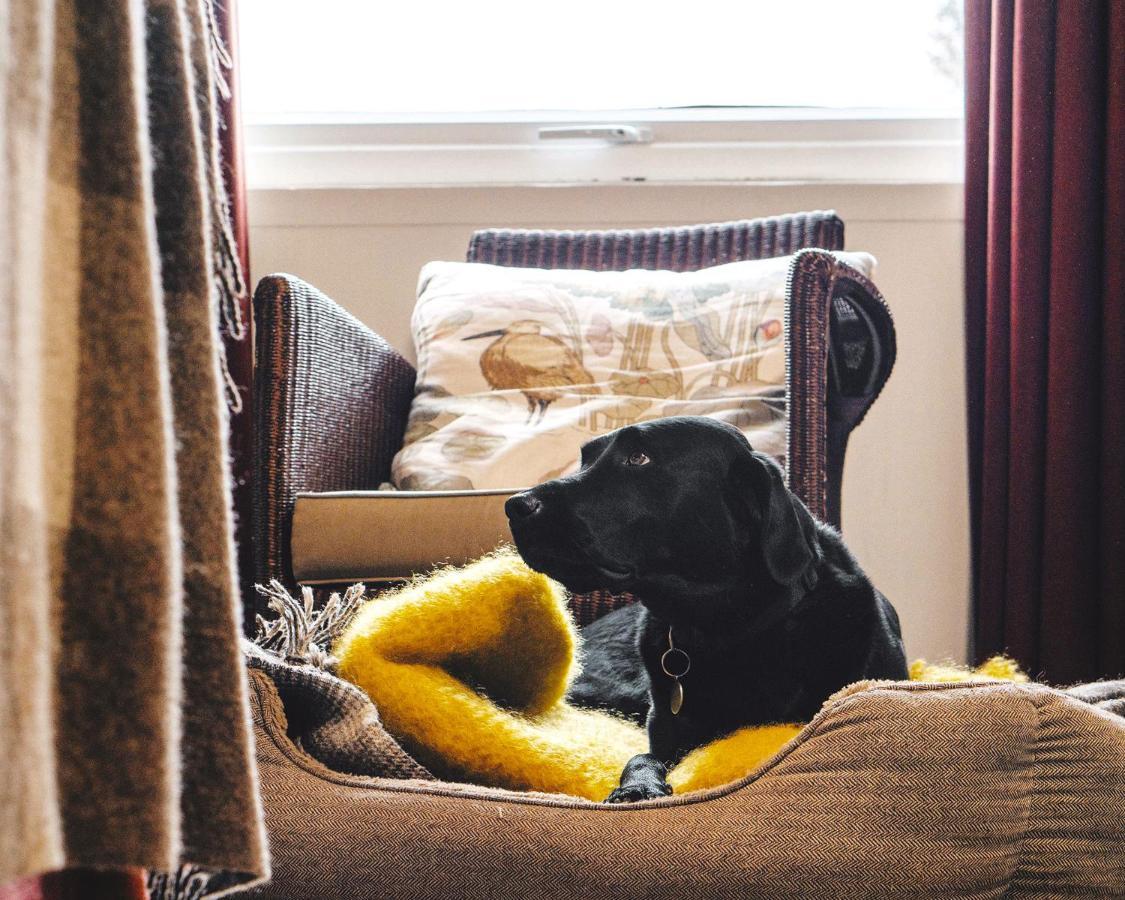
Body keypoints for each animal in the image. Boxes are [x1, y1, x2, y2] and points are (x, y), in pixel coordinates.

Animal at [506, 414, 909, 801]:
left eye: (639, 457)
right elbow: (642, 755)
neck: (724, 630)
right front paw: (638, 786)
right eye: (586, 458)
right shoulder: (664, 729)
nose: (515, 505)